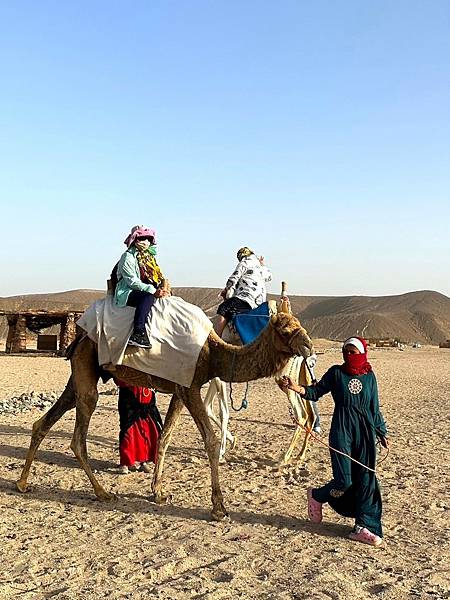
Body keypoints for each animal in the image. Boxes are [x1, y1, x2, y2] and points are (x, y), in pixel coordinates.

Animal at [16, 312, 312, 516]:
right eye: (286, 330)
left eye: (299, 324)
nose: (308, 346)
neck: (214, 353)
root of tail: (78, 339)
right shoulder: (190, 388)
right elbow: (211, 440)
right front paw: (219, 507)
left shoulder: (181, 391)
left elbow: (166, 436)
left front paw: (157, 492)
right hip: (86, 370)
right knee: (78, 435)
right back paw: (102, 493)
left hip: (78, 374)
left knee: (44, 421)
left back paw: (22, 483)